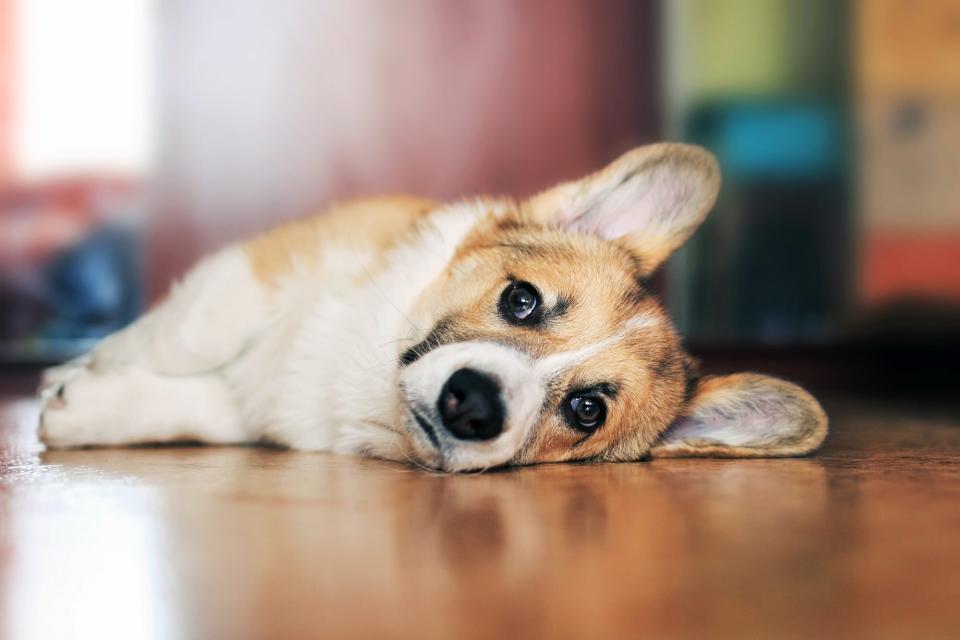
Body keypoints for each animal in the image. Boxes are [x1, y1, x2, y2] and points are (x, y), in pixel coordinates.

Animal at [39, 146, 824, 476]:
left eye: (588, 410)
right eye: (520, 299)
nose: (471, 405)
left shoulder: (266, 407)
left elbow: (202, 409)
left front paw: (86, 409)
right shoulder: (259, 272)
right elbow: (183, 340)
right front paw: (75, 372)